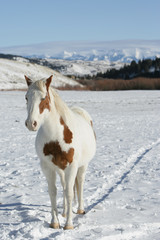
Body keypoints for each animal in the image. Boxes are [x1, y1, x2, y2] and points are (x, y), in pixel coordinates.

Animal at [24, 75, 95, 229]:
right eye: (26, 97)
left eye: (44, 98)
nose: (31, 123)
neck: (56, 137)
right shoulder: (47, 167)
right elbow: (53, 192)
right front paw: (55, 222)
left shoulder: (72, 166)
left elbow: (69, 193)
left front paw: (68, 224)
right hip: (61, 169)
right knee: (64, 186)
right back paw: (64, 212)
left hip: (82, 166)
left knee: (79, 184)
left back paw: (80, 209)